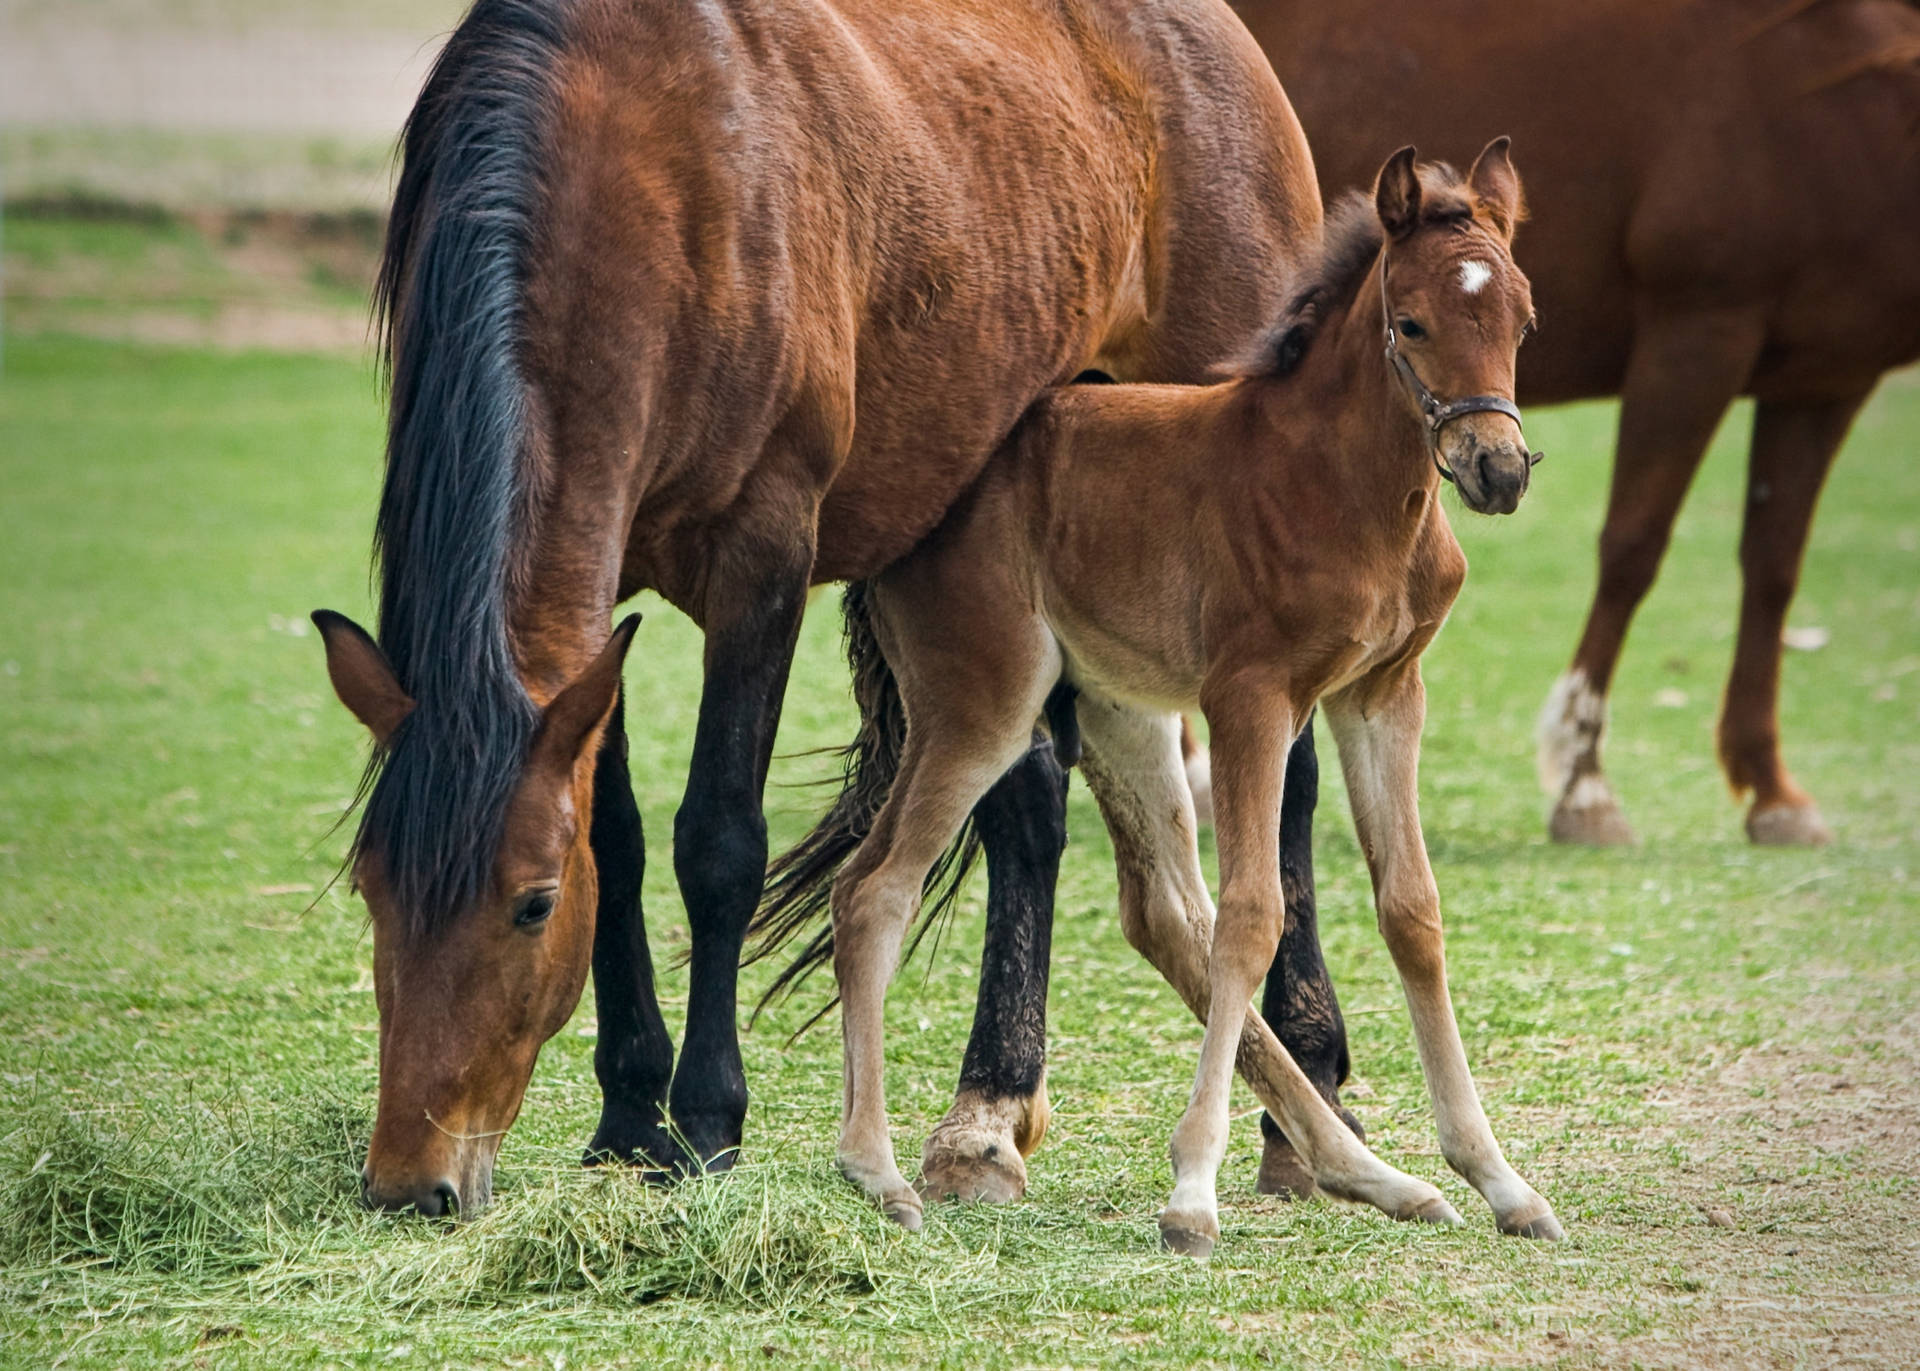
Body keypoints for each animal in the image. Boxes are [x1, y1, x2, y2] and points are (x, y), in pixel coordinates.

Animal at [314, 0, 1336, 1213]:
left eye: (530, 903)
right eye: (373, 890)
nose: (407, 1179)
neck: (646, 175)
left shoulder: (764, 556)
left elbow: (717, 842)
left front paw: (708, 1123)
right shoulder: (600, 602)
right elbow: (619, 835)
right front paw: (630, 1114)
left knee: (1288, 787)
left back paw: (1306, 1096)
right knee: (1028, 801)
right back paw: (987, 1114)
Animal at [794, 141, 1559, 1251]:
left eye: (1522, 320)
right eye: (1412, 323)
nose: (1496, 469)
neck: (1345, 486)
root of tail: (914, 514)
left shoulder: (1383, 694)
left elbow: (1412, 912)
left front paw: (1499, 1180)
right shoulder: (1254, 698)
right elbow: (1252, 916)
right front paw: (1192, 1194)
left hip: (1117, 707)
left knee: (1163, 913)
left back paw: (1376, 1176)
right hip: (984, 701)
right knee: (874, 889)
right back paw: (879, 1169)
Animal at [1236, 0, 1920, 844]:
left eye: (1528, 326)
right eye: (1414, 324)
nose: (1498, 470)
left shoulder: (1825, 378)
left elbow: (1774, 569)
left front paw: (1774, 792)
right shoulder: (1699, 329)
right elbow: (1632, 548)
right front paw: (1584, 783)